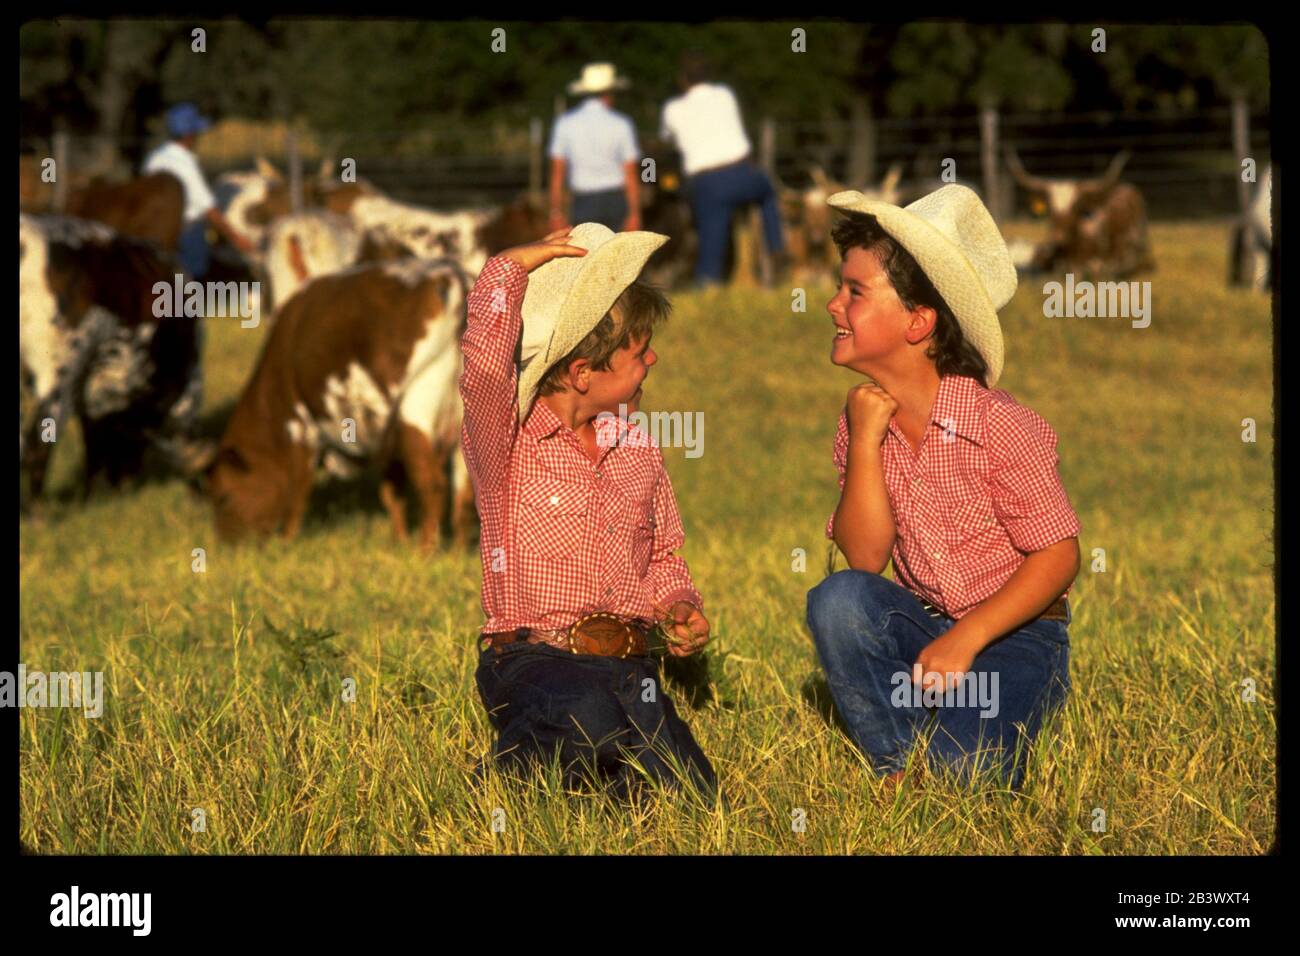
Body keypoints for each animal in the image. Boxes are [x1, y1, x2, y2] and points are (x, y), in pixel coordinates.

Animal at [208, 257, 478, 548]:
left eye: (223, 497)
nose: (224, 544)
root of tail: (451, 276)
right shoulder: (386, 440)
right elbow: (392, 491)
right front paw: (399, 540)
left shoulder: (304, 427)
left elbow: (298, 490)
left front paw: (287, 540)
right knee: (465, 491)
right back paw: (456, 550)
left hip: (416, 410)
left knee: (433, 484)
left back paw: (426, 550)